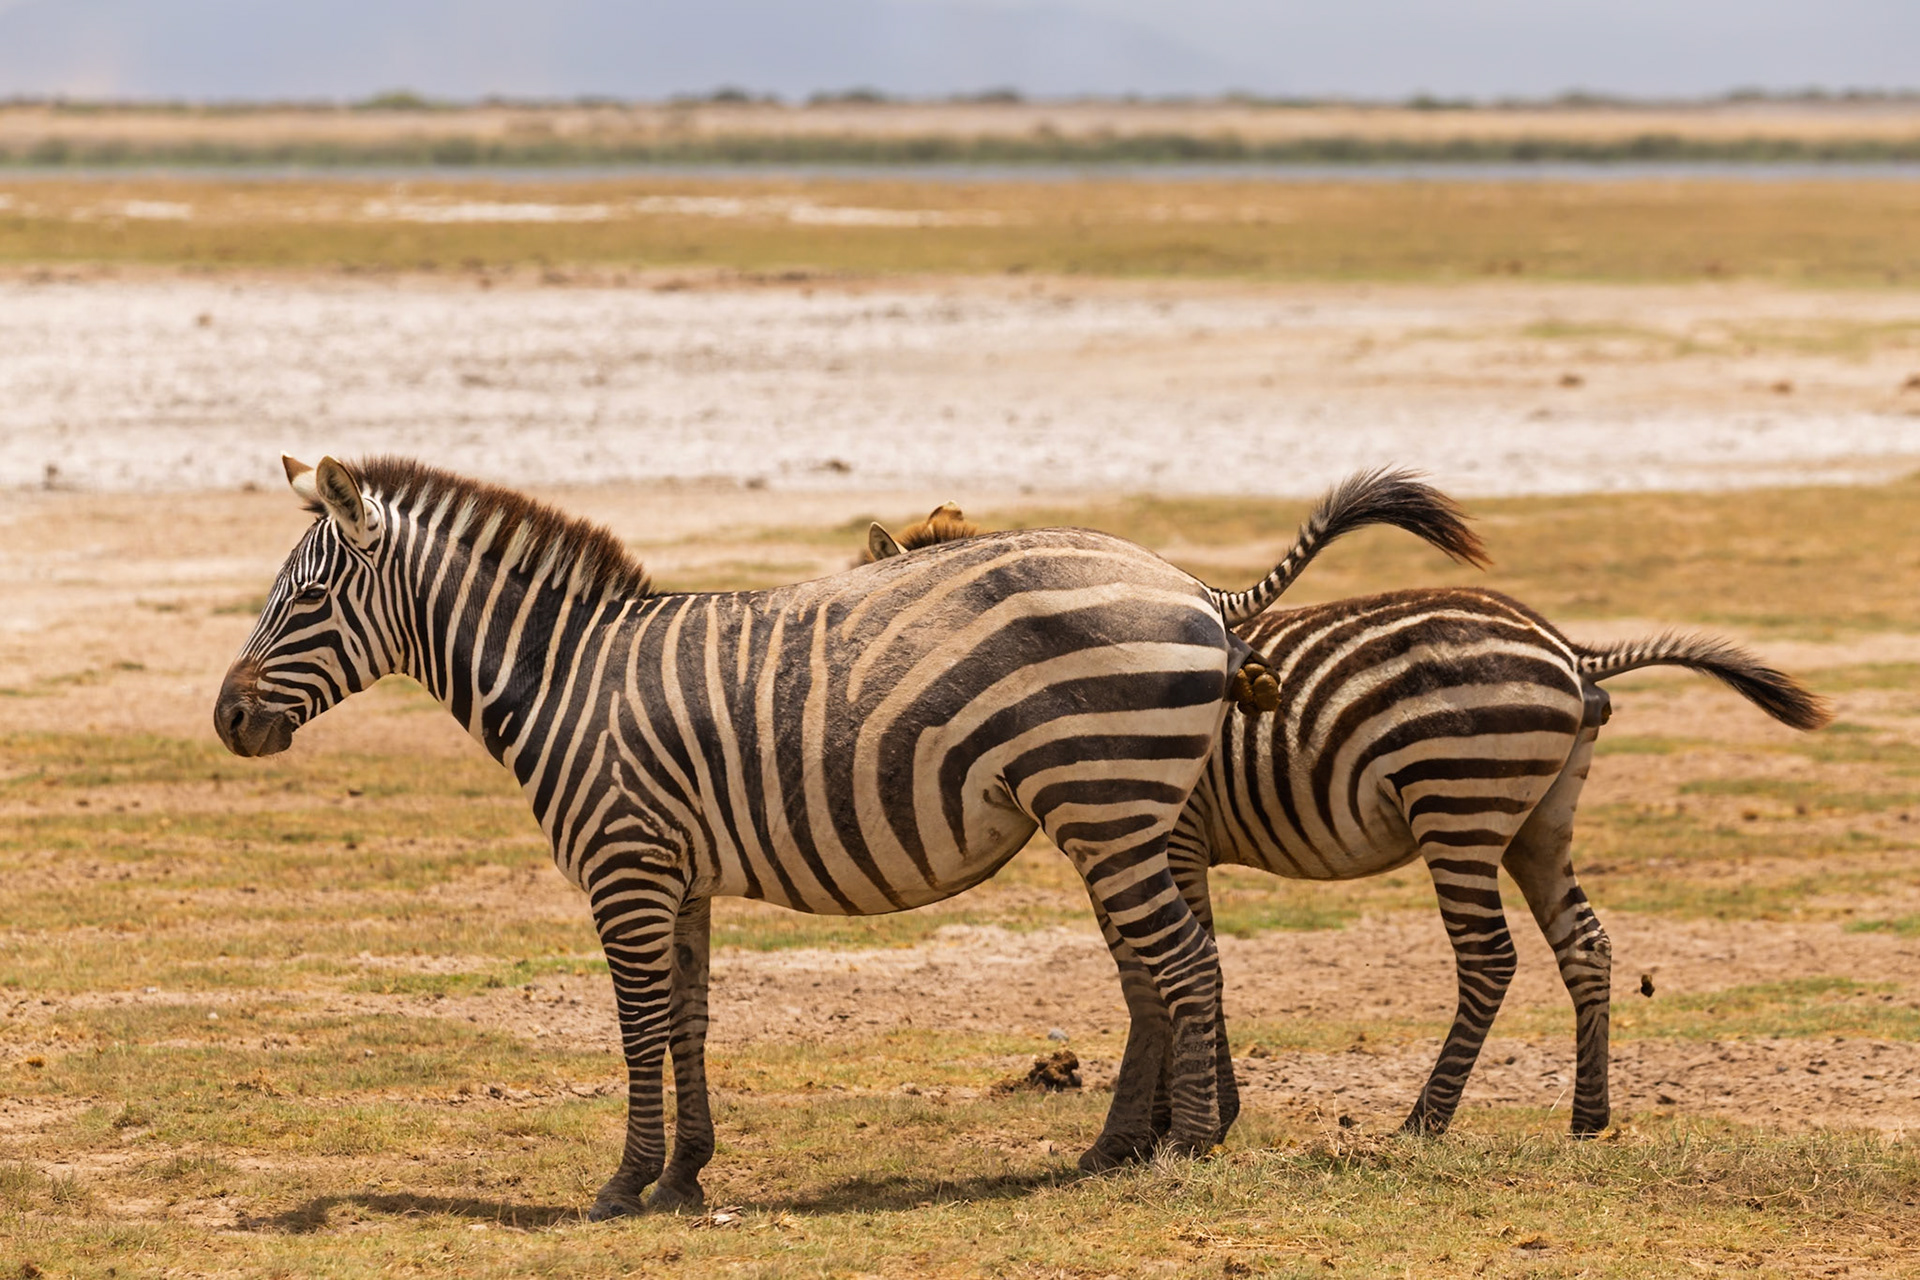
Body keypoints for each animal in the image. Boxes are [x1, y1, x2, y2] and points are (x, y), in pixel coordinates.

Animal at [212, 455, 1480, 1215]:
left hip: (1109, 802)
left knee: (1185, 963)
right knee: (1168, 967)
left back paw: (1190, 1147)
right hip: (1117, 809)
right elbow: (689, 1021)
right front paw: (687, 1173)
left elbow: (635, 1028)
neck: (566, 678)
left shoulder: (625, 864)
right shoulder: (680, 875)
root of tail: (1201, 592)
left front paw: (625, 1181)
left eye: (304, 600)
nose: (225, 718)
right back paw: (1147, 1139)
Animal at [865, 513, 1829, 1155]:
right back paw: (1588, 1119)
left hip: (1460, 802)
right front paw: (1200, 1113)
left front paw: (1192, 1119)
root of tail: (1569, 651)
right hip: (1541, 821)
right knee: (1585, 945)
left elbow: (1185, 958)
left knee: (1490, 959)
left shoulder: (1170, 834)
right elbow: (1196, 955)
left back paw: (1424, 1121)